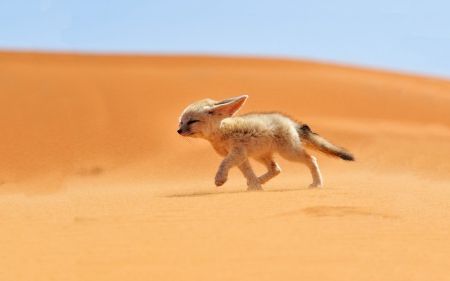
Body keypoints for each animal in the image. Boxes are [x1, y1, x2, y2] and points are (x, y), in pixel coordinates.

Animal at [178, 94, 354, 190]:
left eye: (192, 121)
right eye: (181, 122)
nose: (178, 131)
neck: (221, 132)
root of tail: (291, 122)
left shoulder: (237, 153)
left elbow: (223, 164)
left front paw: (220, 179)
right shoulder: (241, 157)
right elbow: (248, 173)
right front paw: (255, 187)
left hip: (289, 153)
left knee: (311, 159)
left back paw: (317, 184)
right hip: (261, 155)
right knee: (276, 169)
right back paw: (259, 181)